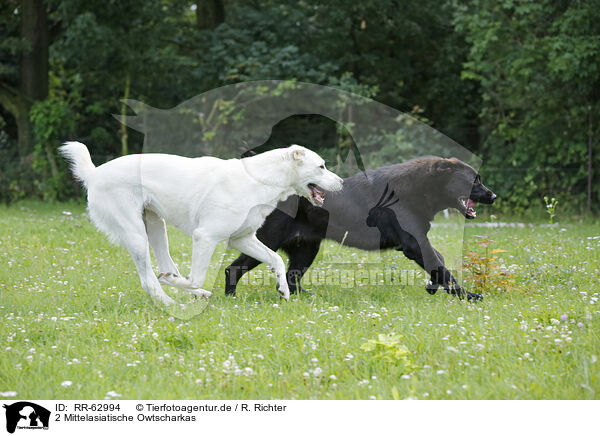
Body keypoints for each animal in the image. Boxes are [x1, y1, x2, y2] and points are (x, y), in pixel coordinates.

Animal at [61, 143, 344, 306]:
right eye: (321, 166)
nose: (341, 182)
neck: (260, 179)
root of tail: (94, 173)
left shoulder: (243, 239)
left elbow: (275, 260)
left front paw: (283, 290)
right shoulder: (205, 237)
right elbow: (195, 276)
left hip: (156, 226)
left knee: (167, 266)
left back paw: (189, 291)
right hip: (136, 235)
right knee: (150, 280)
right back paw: (173, 302)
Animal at [225, 156, 496, 300]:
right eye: (475, 180)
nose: (493, 196)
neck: (421, 188)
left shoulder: (418, 240)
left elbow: (438, 261)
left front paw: (433, 286)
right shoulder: (414, 242)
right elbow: (441, 267)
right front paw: (468, 296)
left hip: (306, 249)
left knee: (292, 277)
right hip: (267, 242)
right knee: (233, 268)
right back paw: (231, 297)